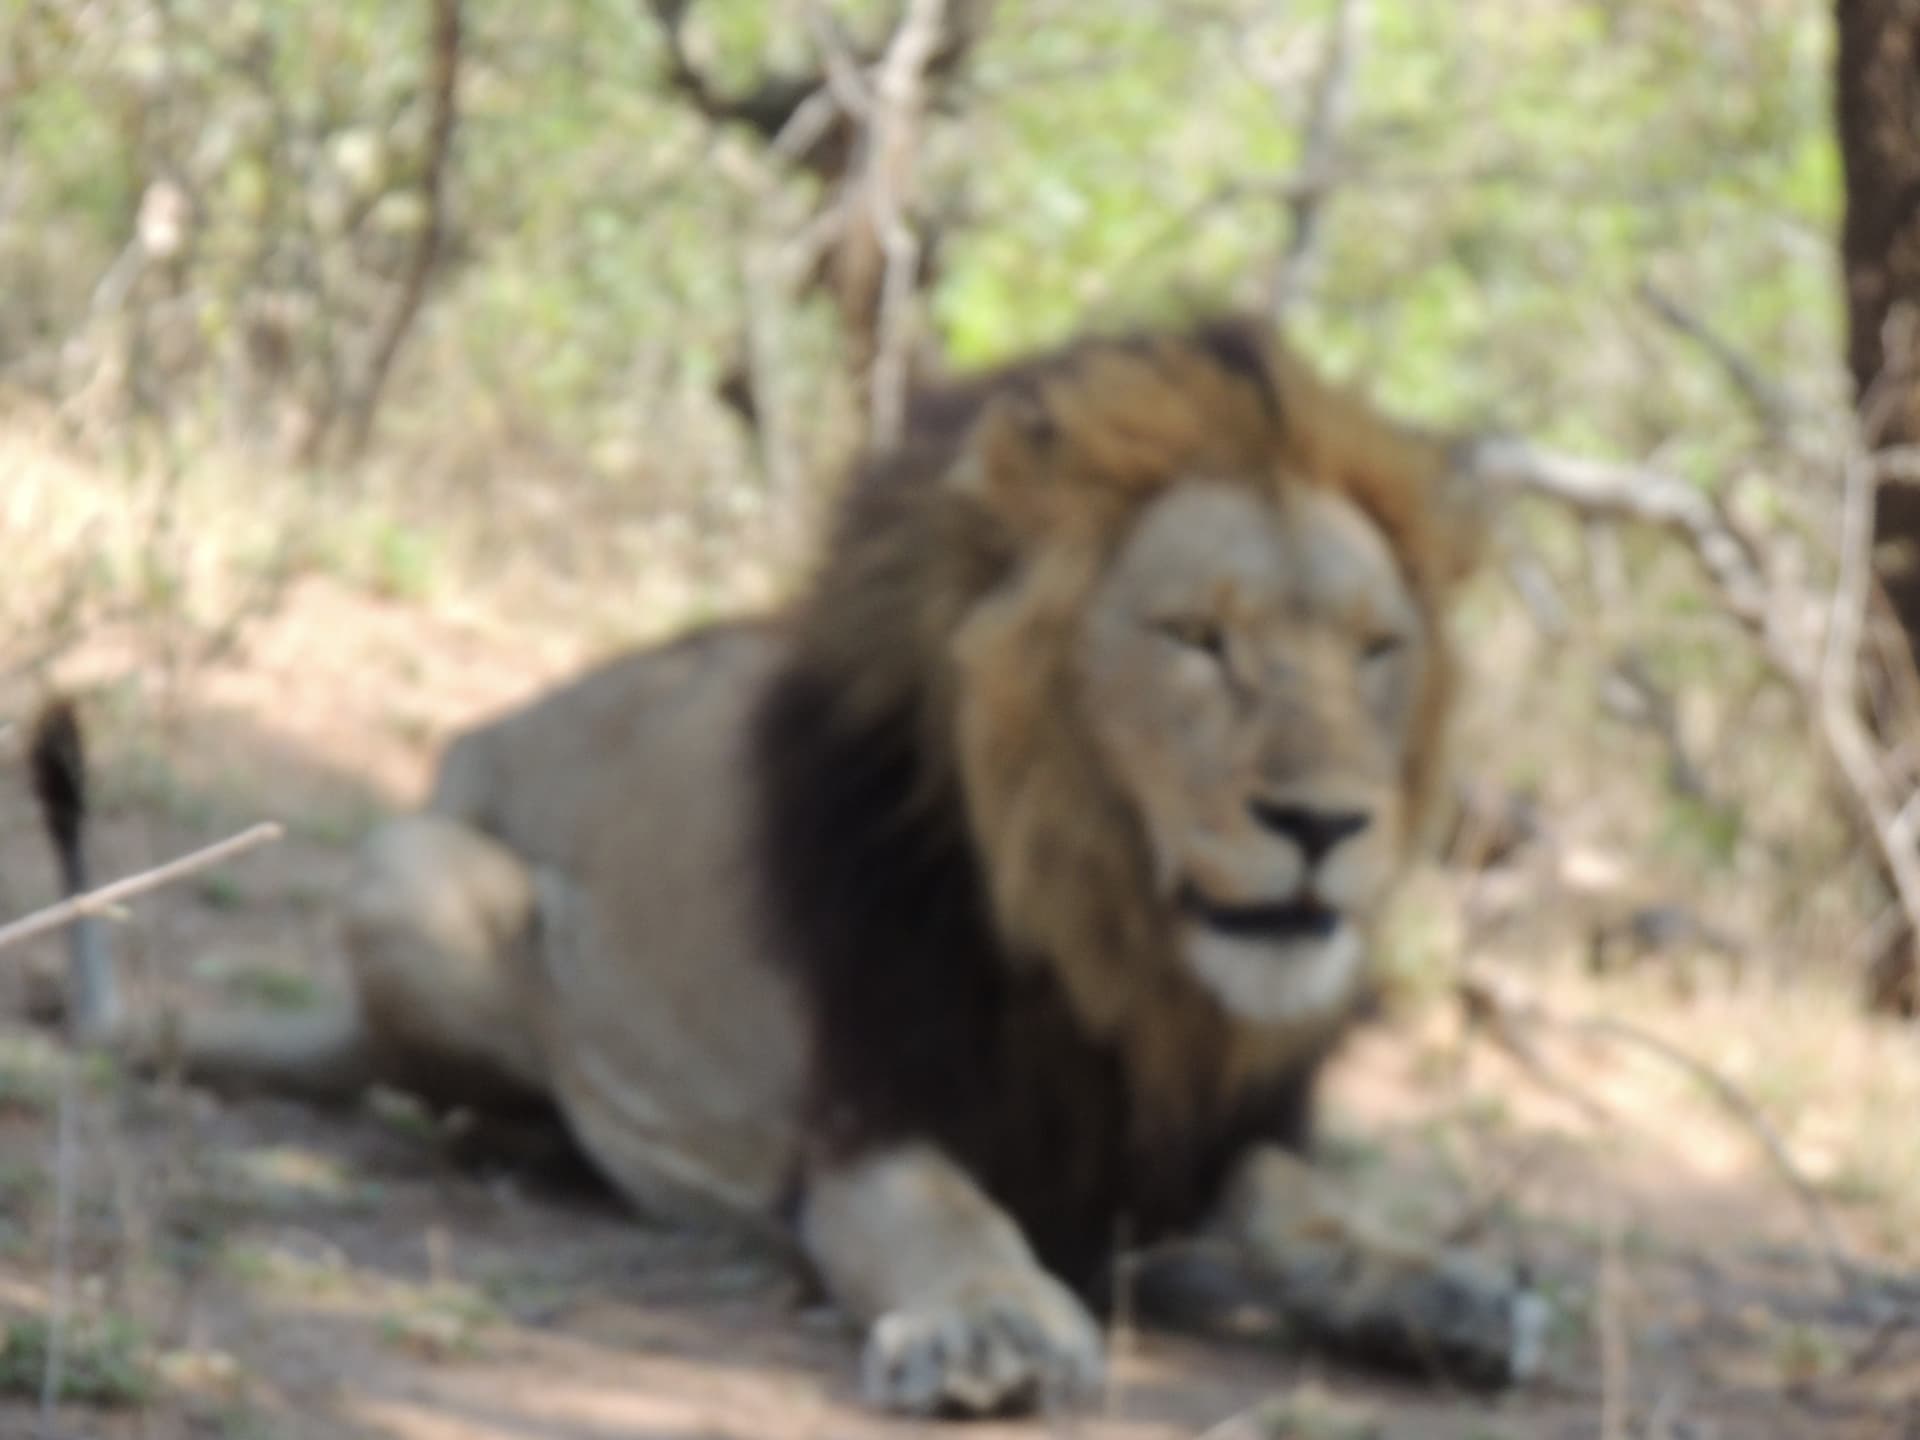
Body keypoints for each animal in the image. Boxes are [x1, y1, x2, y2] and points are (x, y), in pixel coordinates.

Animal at [28, 314, 1543, 1417]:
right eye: (1197, 639)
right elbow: (945, 1219)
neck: (1112, 949)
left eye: (1376, 651)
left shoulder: (1190, 1132)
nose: (1328, 825)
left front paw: (1450, 1289)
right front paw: (989, 1323)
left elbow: (1312, 1209)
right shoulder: (860, 1117)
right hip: (417, 871)